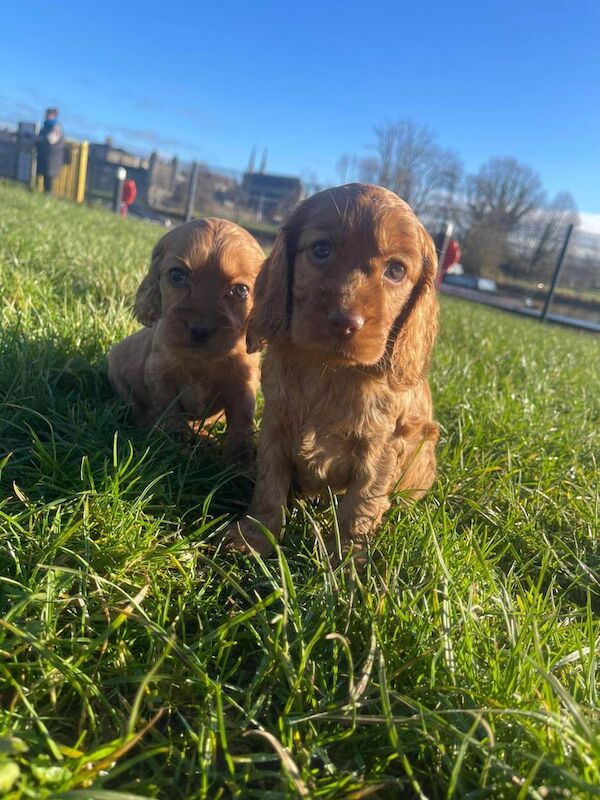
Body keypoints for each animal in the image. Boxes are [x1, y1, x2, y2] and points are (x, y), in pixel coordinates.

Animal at [108, 217, 262, 462]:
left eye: (240, 291)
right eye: (177, 275)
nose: (199, 330)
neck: (202, 360)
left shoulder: (243, 384)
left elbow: (241, 422)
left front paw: (239, 462)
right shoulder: (160, 376)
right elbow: (170, 413)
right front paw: (176, 447)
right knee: (135, 405)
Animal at [225, 184, 440, 552]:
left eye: (396, 271)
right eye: (321, 250)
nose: (345, 322)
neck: (330, 371)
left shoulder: (380, 450)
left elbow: (360, 507)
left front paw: (346, 562)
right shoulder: (275, 426)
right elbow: (269, 487)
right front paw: (253, 539)